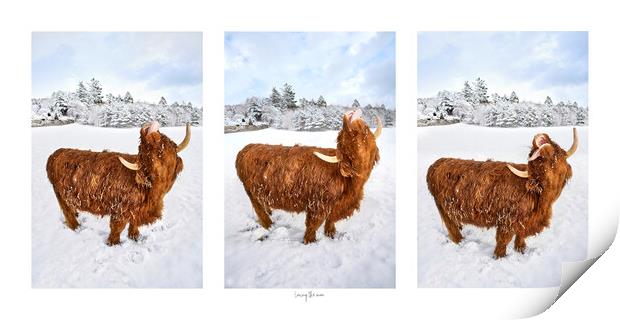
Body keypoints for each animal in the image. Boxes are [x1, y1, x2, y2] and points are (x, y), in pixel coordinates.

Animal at [47, 122, 189, 245]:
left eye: (164, 143)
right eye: (145, 149)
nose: (146, 128)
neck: (152, 193)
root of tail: (55, 154)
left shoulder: (137, 211)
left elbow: (134, 223)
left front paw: (135, 236)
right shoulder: (120, 209)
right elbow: (117, 228)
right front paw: (113, 243)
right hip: (59, 193)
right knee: (67, 211)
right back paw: (76, 227)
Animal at [235, 109, 380, 244]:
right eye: (346, 138)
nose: (347, 116)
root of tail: (245, 149)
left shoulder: (338, 206)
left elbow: (331, 220)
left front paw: (331, 233)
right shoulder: (318, 205)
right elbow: (313, 225)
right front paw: (309, 241)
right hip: (250, 191)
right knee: (258, 209)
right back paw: (269, 225)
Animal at [426, 127, 576, 258]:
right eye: (536, 159)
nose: (539, 137)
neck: (541, 200)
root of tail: (436, 164)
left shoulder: (524, 221)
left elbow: (520, 235)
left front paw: (521, 249)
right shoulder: (506, 220)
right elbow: (503, 240)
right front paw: (499, 256)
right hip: (442, 207)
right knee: (451, 226)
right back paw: (460, 241)